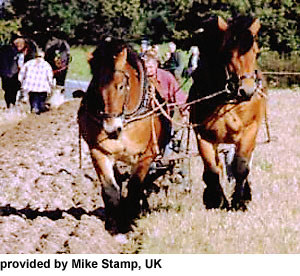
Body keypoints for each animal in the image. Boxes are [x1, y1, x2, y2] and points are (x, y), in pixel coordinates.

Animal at [77, 39, 169, 233]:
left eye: (120, 86)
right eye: (96, 88)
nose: (111, 128)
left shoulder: (146, 155)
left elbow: (135, 186)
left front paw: (130, 220)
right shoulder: (98, 152)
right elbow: (110, 188)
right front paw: (114, 225)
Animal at [188, 16, 268, 211]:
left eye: (256, 52)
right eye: (227, 53)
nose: (247, 90)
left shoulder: (249, 131)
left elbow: (241, 167)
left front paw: (239, 201)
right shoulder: (203, 136)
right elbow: (212, 170)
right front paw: (218, 200)